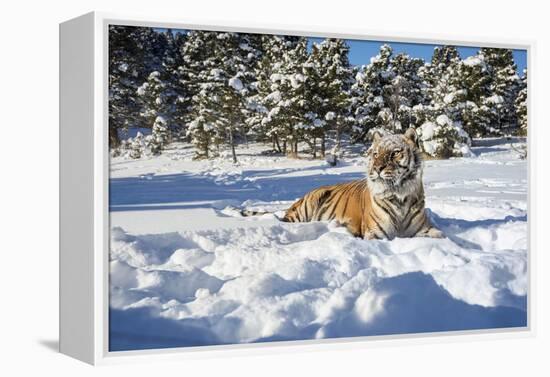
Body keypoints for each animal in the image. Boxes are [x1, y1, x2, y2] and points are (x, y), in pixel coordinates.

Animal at [282, 126, 442, 238]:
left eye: (395, 153)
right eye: (376, 154)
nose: (377, 168)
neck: (399, 197)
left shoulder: (425, 229)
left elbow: (439, 235)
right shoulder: (375, 233)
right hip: (307, 205)